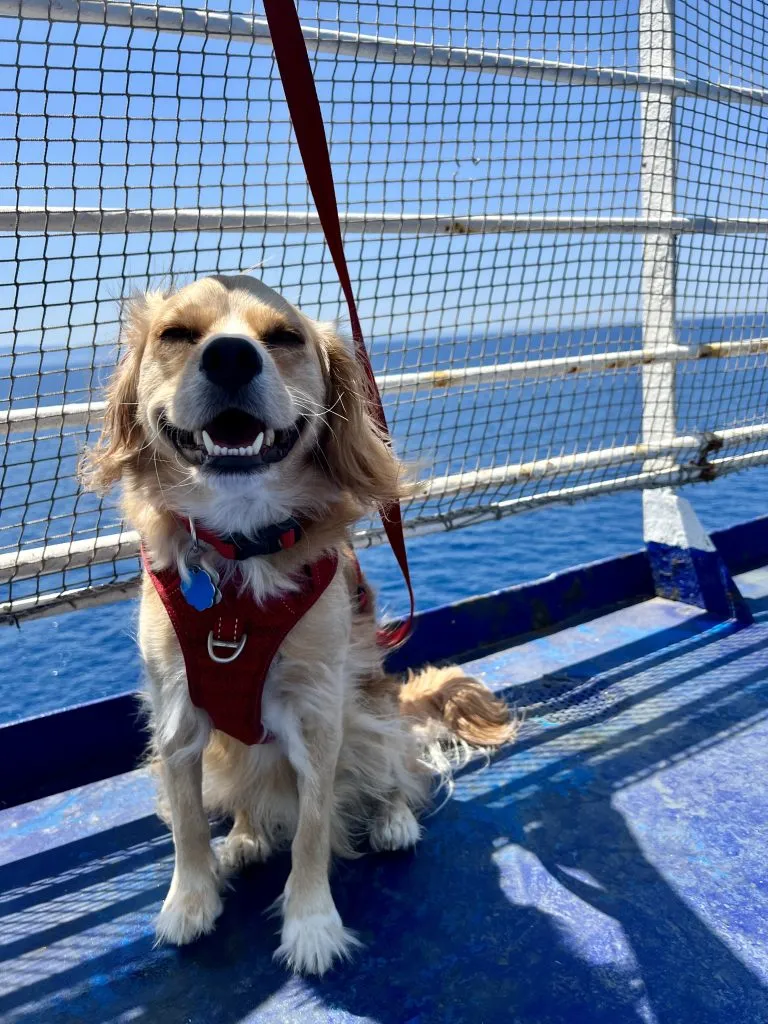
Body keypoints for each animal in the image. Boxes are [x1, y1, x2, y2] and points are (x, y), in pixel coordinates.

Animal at [82, 274, 518, 974]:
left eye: (284, 337)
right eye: (177, 334)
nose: (231, 356)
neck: (239, 556)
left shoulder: (318, 717)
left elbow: (313, 829)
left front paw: (312, 924)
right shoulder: (176, 714)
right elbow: (186, 822)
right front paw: (190, 901)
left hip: (368, 711)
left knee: (396, 767)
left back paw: (393, 819)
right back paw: (245, 836)